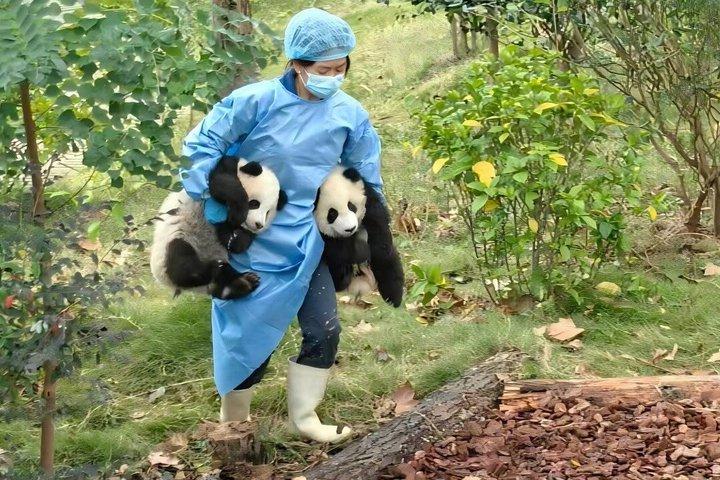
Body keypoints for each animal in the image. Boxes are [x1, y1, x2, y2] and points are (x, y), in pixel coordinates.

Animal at [150, 156, 287, 299]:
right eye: (255, 204)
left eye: (268, 213)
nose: (259, 225)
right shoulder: (225, 169)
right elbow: (223, 184)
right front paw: (239, 214)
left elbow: (236, 239)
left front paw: (234, 239)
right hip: (175, 241)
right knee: (181, 260)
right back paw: (211, 269)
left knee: (224, 278)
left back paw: (243, 283)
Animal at [314, 166, 404, 307]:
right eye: (332, 214)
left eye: (351, 206)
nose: (350, 228)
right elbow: (333, 247)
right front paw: (361, 250)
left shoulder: (370, 204)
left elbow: (379, 236)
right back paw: (344, 276)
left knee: (389, 261)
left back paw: (393, 297)